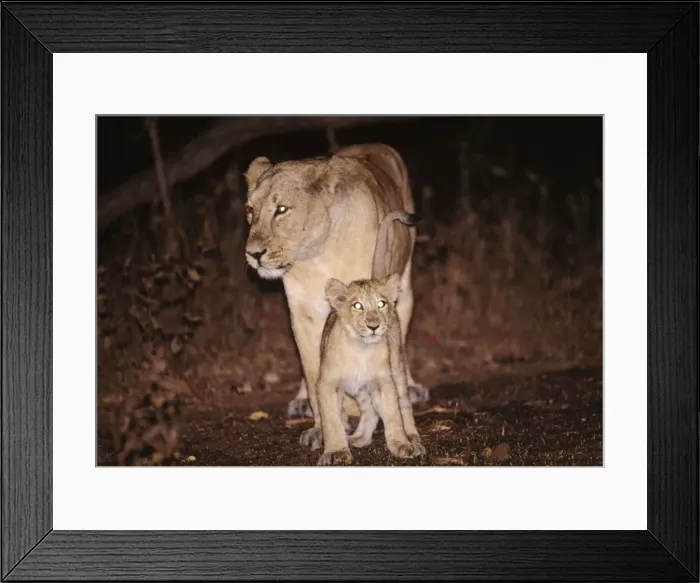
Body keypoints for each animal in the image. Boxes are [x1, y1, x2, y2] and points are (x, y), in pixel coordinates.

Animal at [243, 143, 430, 442]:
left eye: (281, 209)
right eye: (250, 210)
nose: (253, 254)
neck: (317, 255)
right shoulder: (302, 315)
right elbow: (314, 373)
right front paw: (325, 428)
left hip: (405, 289)